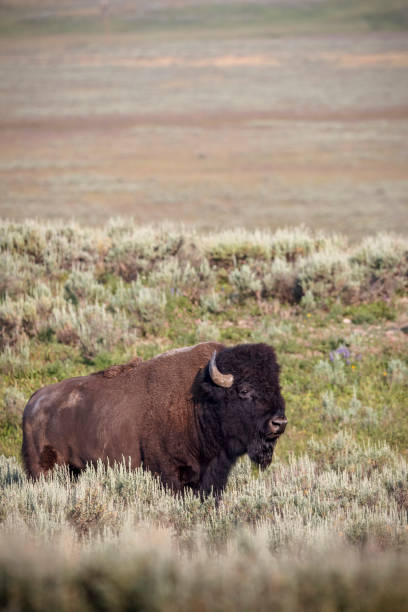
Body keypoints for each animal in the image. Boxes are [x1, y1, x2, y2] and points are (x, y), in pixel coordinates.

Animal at [22, 342, 286, 500]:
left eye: (277, 386)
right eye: (244, 390)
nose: (279, 423)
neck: (198, 403)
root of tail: (34, 400)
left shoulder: (211, 477)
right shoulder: (169, 473)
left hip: (72, 470)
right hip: (43, 470)